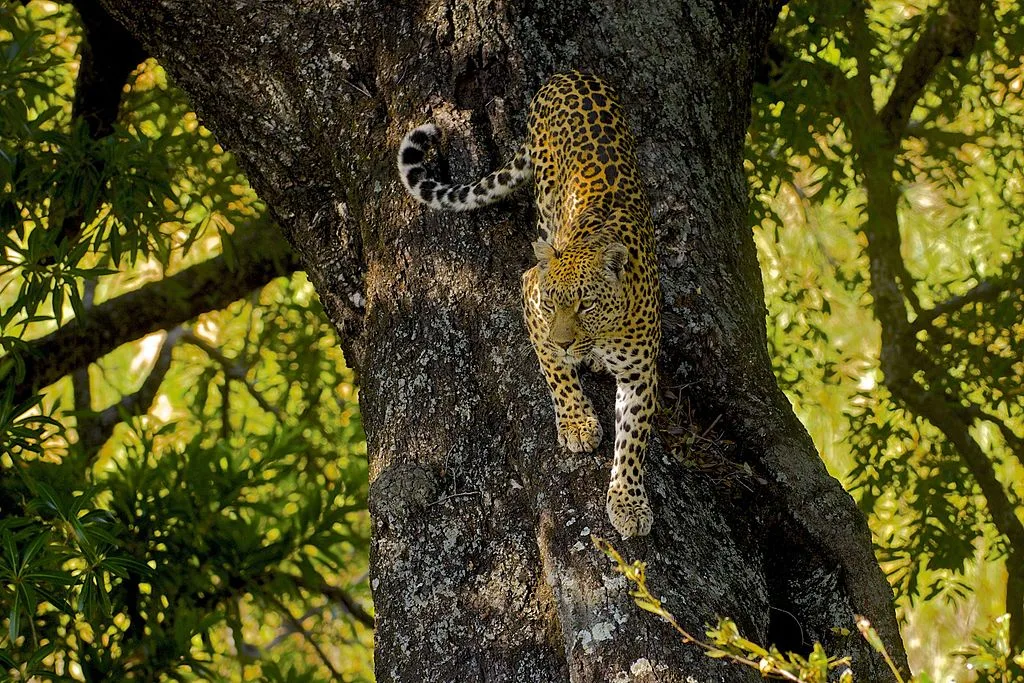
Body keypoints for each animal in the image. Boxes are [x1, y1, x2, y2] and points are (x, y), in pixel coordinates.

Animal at [395, 70, 659, 540]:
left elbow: (632, 442)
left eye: (587, 305)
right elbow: (554, 370)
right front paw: (577, 423)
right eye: (552, 304)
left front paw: (628, 503)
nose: (567, 342)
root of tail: (568, 74)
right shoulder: (532, 292)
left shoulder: (640, 372)